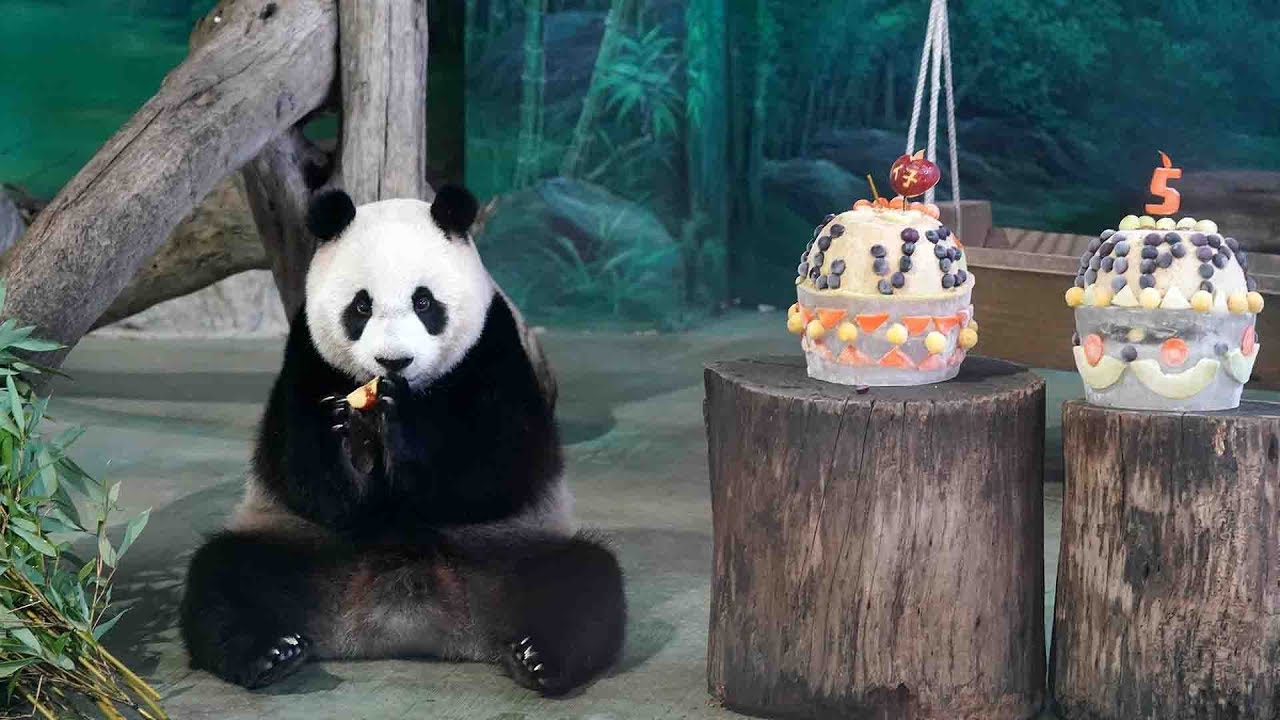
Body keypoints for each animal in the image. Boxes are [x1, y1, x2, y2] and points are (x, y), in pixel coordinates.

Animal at [179, 185, 626, 696]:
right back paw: (270, 653)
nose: (394, 361)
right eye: (361, 307)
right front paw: (346, 440)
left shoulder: (494, 348)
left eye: (425, 303)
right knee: (224, 576)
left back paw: (537, 658)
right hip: (300, 548)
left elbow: (502, 467)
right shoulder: (306, 356)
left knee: (583, 582)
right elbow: (299, 477)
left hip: (511, 552)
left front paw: (401, 428)